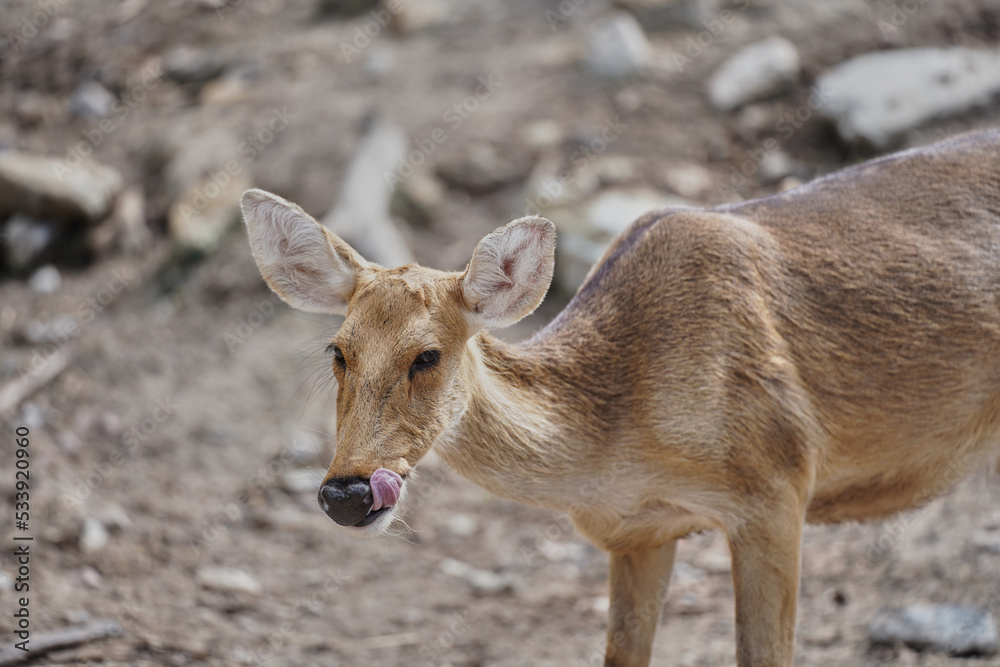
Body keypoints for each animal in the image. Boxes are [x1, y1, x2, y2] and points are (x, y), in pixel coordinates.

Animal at [240, 127, 1000, 667]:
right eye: (338, 350)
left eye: (427, 354)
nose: (346, 492)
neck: (622, 442)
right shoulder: (639, 533)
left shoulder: (778, 484)